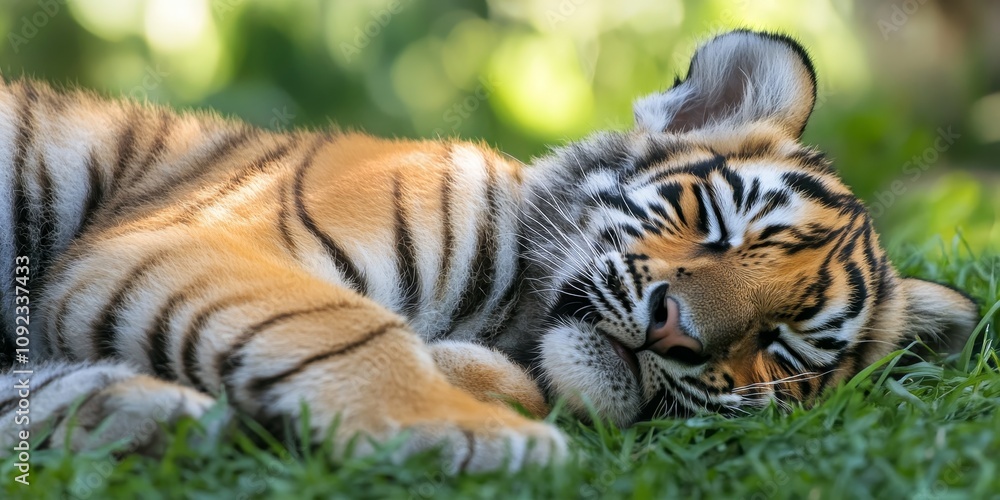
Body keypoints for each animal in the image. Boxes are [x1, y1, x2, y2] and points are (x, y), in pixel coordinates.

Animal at [0, 30, 979, 473]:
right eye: (713, 221)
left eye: (783, 346)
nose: (676, 332)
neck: (507, 312)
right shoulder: (195, 234)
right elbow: (343, 325)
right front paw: (471, 430)